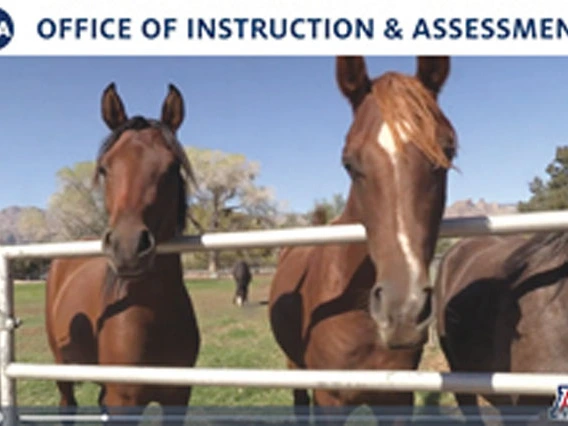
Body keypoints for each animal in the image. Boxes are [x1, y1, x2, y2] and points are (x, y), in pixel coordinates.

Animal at [268, 55, 460, 422]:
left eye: (448, 152)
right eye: (348, 163)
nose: (403, 312)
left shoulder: (398, 401)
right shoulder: (329, 399)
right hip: (293, 367)